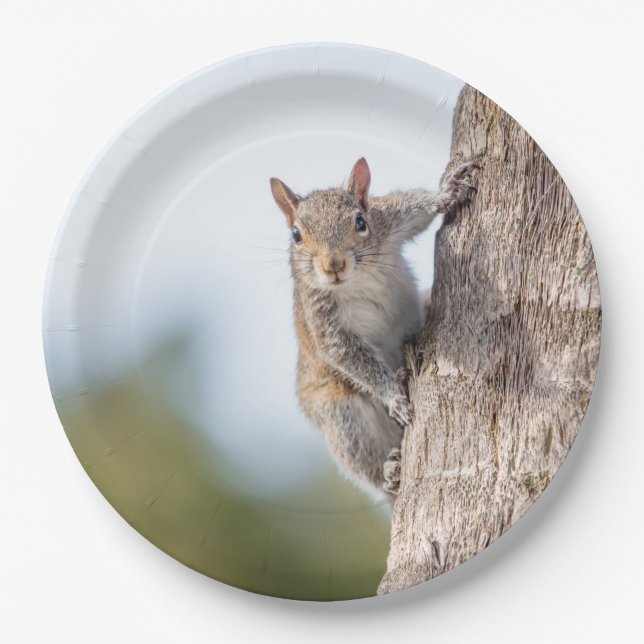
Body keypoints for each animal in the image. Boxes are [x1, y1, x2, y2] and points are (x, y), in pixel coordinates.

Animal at [270, 157, 477, 501]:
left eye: (360, 221)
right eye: (296, 235)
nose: (333, 265)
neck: (358, 278)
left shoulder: (389, 221)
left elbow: (418, 209)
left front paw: (446, 191)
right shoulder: (321, 317)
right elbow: (348, 355)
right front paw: (394, 397)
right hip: (341, 419)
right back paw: (391, 474)